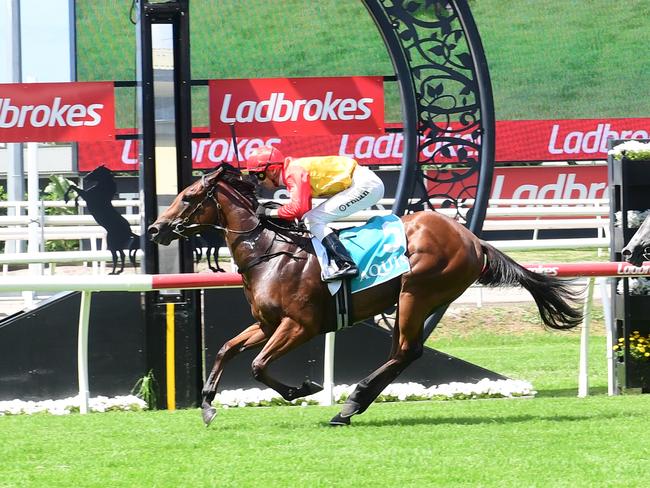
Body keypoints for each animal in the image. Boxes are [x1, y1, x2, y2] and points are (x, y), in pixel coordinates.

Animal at [148, 163, 584, 424]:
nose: (154, 229)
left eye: (188, 197)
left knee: (406, 351)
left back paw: (350, 403)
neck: (270, 253)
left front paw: (303, 389)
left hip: (416, 293)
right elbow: (226, 349)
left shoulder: (300, 325)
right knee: (401, 353)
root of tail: (473, 239)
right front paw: (207, 404)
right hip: (416, 300)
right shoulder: (268, 324)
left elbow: (257, 365)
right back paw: (352, 405)